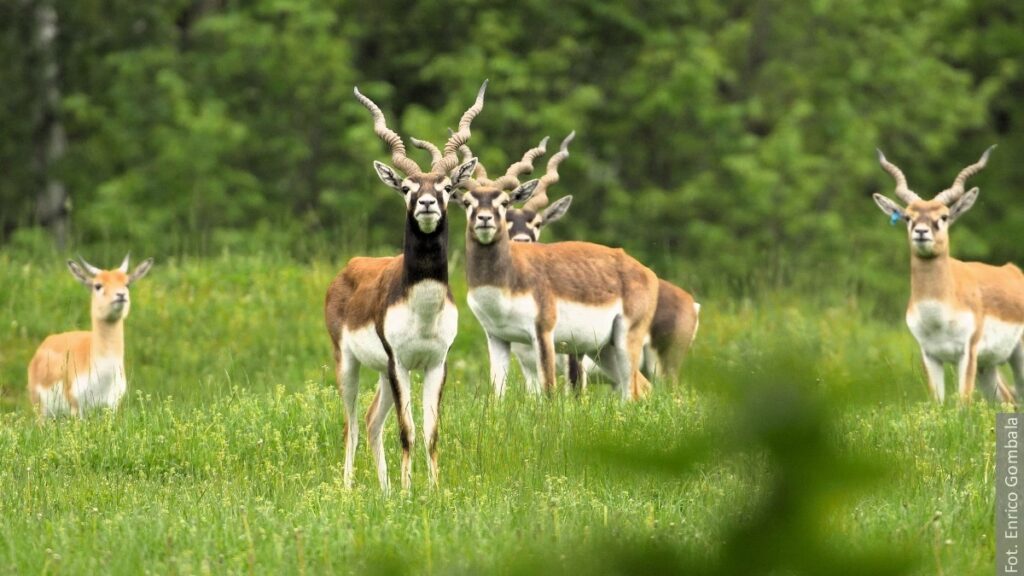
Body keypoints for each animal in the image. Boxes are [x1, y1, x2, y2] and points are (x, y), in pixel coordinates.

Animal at [27, 254, 153, 416]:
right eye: (98, 285)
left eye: (127, 284)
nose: (121, 295)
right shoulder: (76, 407)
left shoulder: (112, 406)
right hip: (41, 411)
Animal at [323, 81, 483, 494]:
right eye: (408, 187)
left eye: (446, 186)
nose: (426, 203)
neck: (422, 309)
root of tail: (350, 267)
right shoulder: (401, 363)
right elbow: (407, 430)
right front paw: (410, 492)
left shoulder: (435, 364)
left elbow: (430, 432)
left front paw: (432, 490)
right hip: (349, 363)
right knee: (350, 425)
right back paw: (349, 489)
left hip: (381, 372)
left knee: (370, 420)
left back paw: (385, 490)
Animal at [872, 145, 1024, 401]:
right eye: (908, 217)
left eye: (943, 216)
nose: (921, 232)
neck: (938, 313)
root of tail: (1014, 272)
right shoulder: (930, 355)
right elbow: (937, 403)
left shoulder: (968, 352)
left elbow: (962, 403)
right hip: (988, 367)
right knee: (1006, 400)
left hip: (1017, 357)